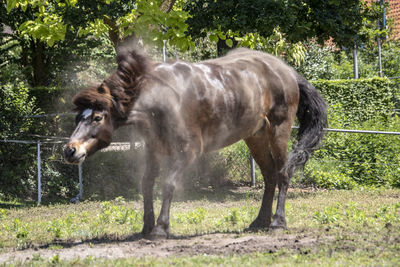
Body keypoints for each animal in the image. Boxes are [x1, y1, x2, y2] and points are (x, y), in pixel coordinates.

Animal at [64, 47, 326, 240]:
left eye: (97, 118)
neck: (160, 99)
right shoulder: (153, 149)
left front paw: (161, 228)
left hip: (278, 131)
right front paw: (146, 226)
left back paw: (278, 222)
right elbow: (147, 184)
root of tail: (287, 71)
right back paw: (260, 221)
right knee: (270, 175)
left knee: (283, 174)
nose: (69, 151)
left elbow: (168, 184)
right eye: (78, 118)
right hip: (255, 136)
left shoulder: (187, 152)